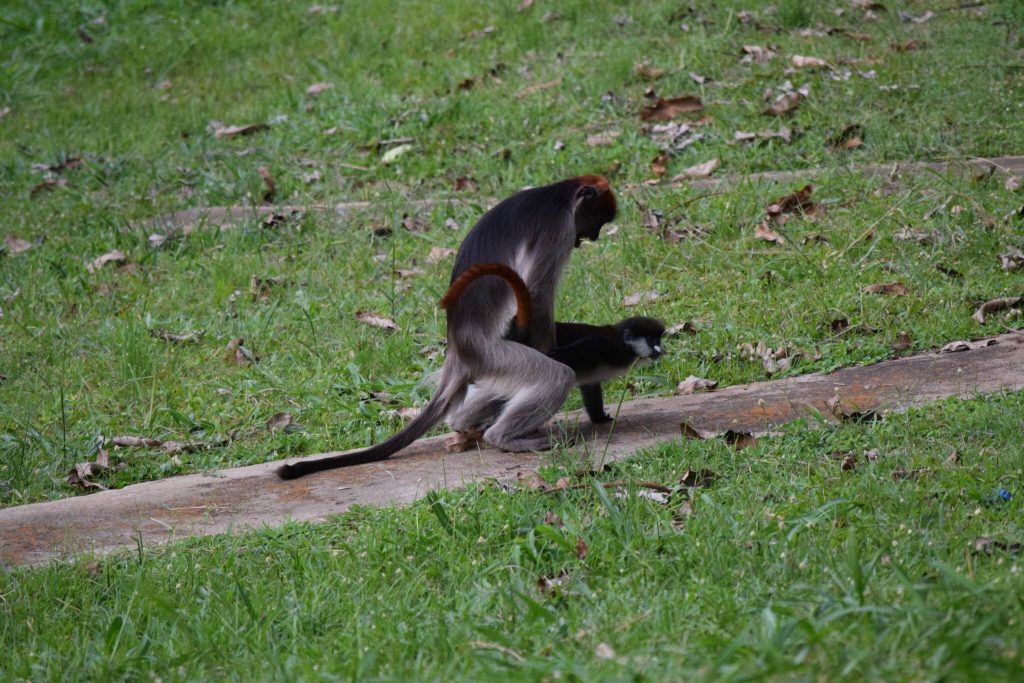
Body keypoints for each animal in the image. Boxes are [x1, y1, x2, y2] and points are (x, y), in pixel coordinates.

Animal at [277, 176, 616, 479]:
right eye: (594, 224)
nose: (591, 238)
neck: (558, 194)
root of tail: (458, 350)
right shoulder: (558, 230)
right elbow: (536, 293)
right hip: (495, 357)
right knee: (556, 377)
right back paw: (505, 439)